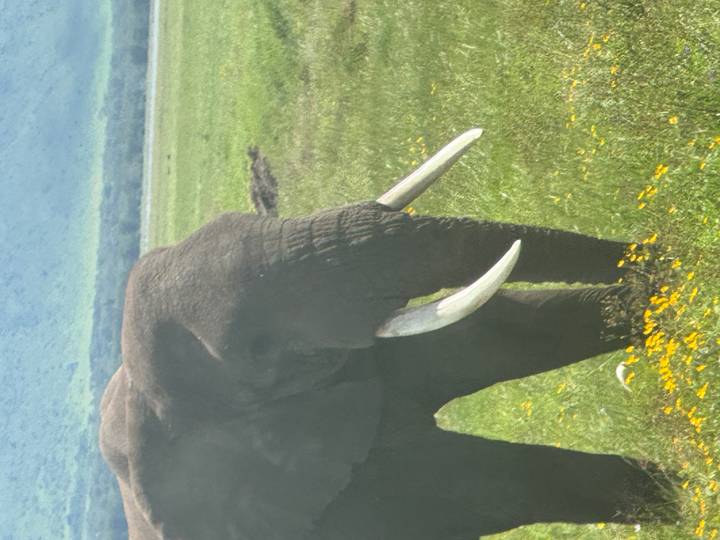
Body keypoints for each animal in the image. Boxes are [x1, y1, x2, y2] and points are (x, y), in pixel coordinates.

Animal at [100, 129, 672, 540]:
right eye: (258, 353)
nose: (651, 251)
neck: (138, 396)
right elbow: (480, 482)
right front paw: (677, 497)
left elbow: (506, 331)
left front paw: (660, 292)